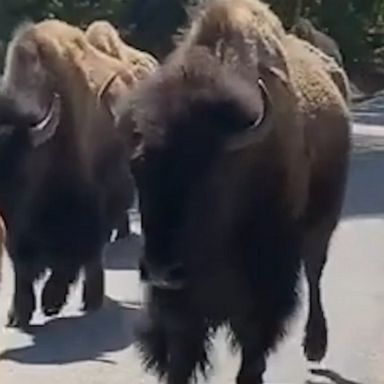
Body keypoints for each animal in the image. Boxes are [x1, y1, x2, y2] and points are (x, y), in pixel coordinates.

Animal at [0, 20, 136, 328]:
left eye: (24, 172)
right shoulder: (16, 233)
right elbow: (22, 267)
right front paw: (18, 314)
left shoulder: (82, 214)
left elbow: (70, 258)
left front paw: (51, 301)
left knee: (94, 257)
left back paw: (91, 300)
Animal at [119, 0, 352, 382]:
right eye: (138, 170)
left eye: (212, 177)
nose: (161, 271)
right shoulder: (183, 307)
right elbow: (182, 353)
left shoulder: (265, 286)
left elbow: (253, 347)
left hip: (322, 221)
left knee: (315, 269)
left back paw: (316, 345)